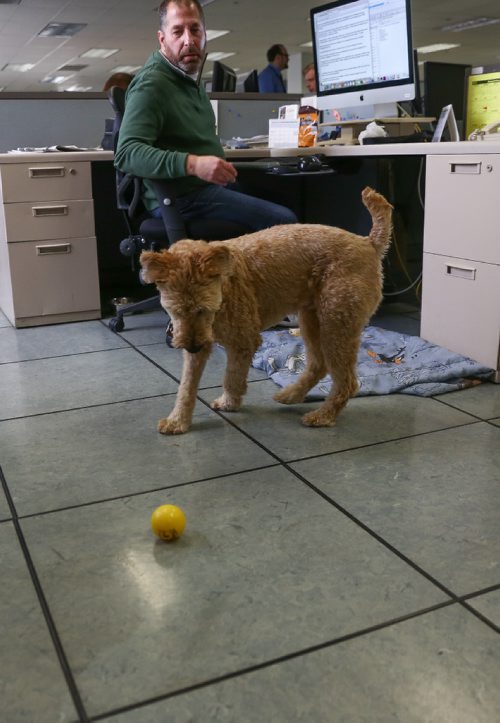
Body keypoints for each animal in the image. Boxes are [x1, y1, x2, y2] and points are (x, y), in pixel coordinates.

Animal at [140, 188, 390, 436]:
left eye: (203, 309)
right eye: (175, 311)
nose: (192, 346)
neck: (224, 288)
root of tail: (368, 243)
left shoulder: (243, 342)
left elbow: (232, 377)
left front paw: (230, 402)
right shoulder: (199, 347)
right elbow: (186, 386)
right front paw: (178, 420)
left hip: (337, 323)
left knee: (346, 382)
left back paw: (323, 415)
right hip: (312, 320)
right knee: (319, 365)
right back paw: (291, 395)